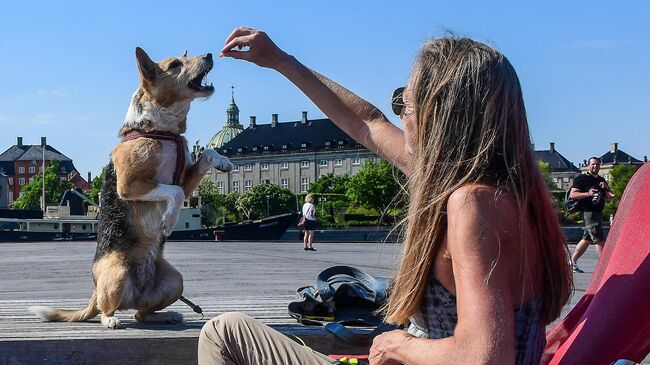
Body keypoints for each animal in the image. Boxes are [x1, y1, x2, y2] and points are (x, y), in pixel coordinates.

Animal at [31, 47, 233, 328]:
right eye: (175, 65)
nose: (210, 55)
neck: (160, 130)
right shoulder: (128, 186)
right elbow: (174, 193)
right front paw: (169, 221)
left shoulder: (183, 179)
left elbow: (205, 155)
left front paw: (223, 160)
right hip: (117, 274)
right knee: (107, 308)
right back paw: (110, 320)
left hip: (175, 281)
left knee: (141, 313)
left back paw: (168, 315)